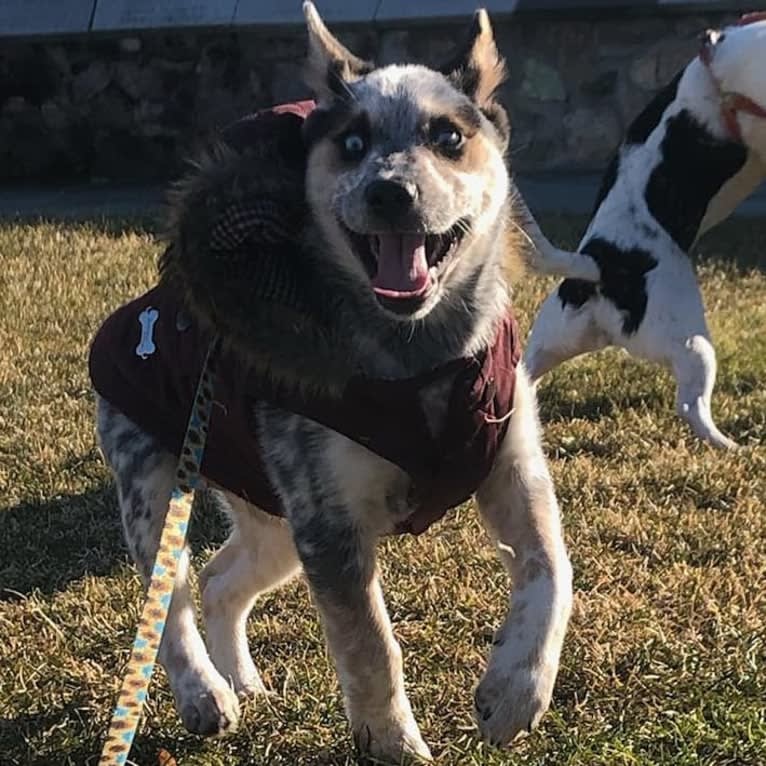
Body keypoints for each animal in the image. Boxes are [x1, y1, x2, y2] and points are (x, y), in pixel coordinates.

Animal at [93, 4, 572, 760]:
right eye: (351, 143)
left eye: (449, 136)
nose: (389, 191)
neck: (421, 353)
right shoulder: (328, 519)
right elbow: (370, 646)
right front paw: (396, 746)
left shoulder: (511, 460)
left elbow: (553, 572)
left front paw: (513, 696)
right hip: (153, 480)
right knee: (167, 600)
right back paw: (205, 693)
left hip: (269, 513)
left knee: (220, 580)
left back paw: (245, 680)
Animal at [528, 13, 766, 450]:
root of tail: (598, 268)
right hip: (690, 344)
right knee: (691, 405)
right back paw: (731, 446)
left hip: (554, 334)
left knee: (524, 372)